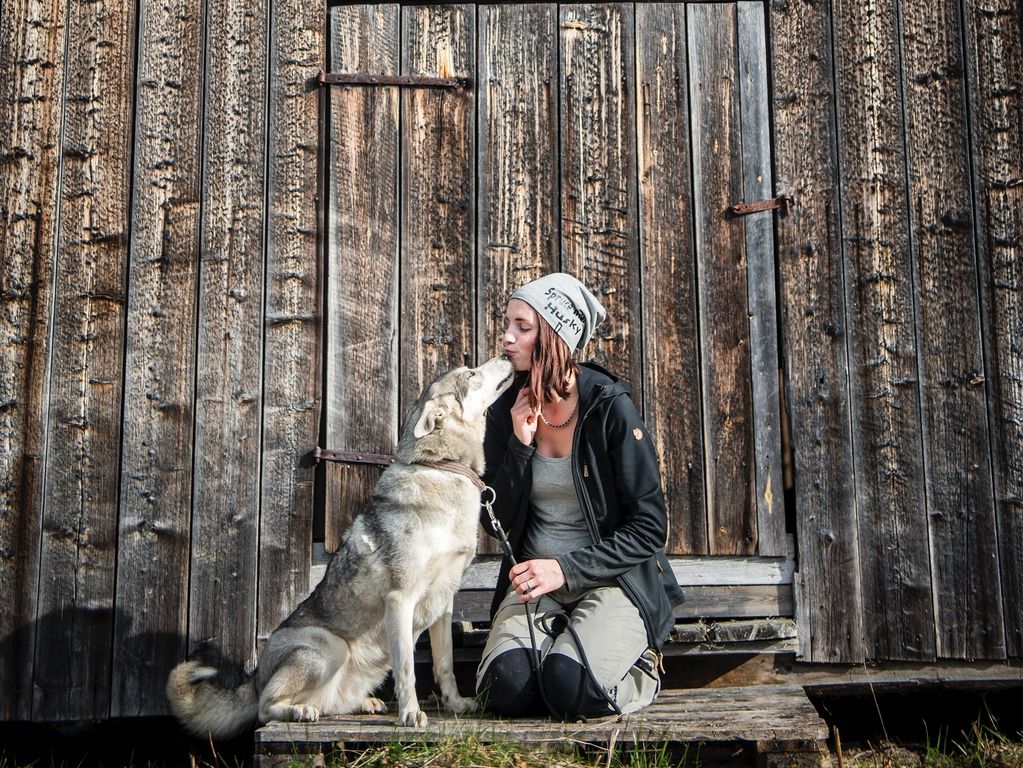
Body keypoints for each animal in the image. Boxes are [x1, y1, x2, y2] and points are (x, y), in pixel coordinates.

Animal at [171, 355, 519, 740]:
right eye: (471, 373)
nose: (506, 354)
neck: (444, 469)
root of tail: (254, 677)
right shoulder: (401, 599)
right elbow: (408, 670)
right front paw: (411, 714)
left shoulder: (443, 606)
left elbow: (445, 665)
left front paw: (456, 706)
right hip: (330, 648)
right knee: (265, 708)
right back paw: (300, 711)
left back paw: (362, 703)